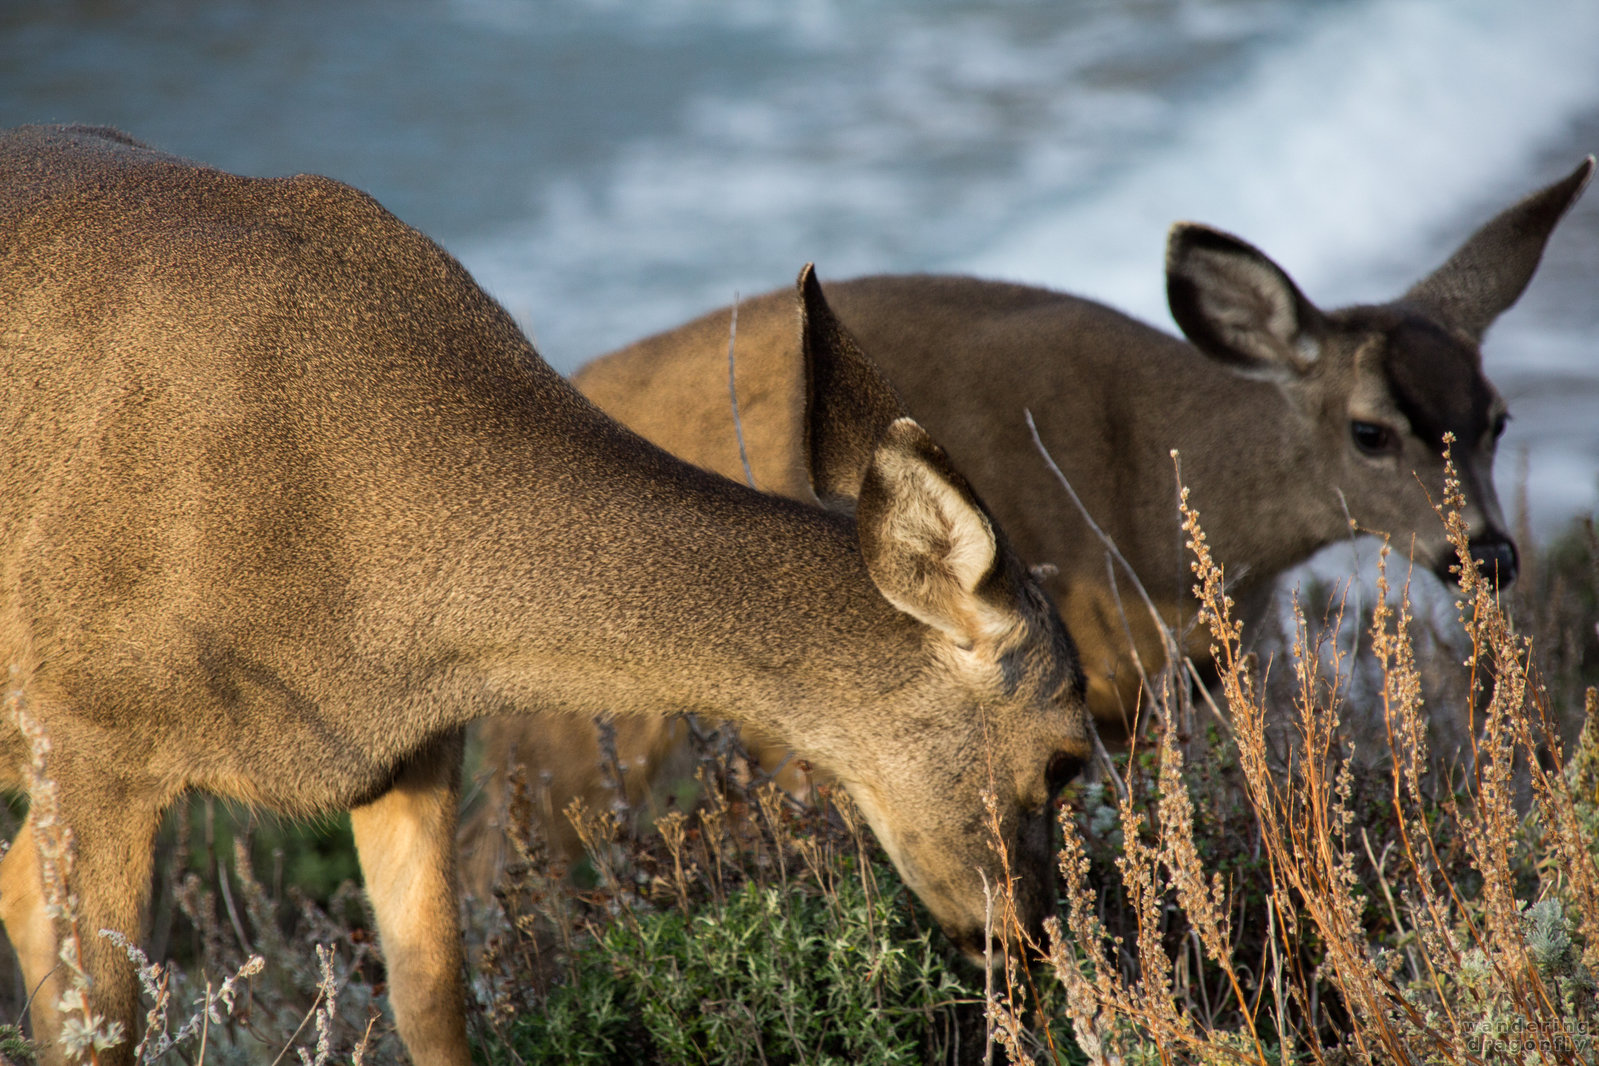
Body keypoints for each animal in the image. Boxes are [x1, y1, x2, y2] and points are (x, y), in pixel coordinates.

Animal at [0, 127, 1093, 1066]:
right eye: (1068, 758)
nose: (1029, 946)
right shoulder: (87, 728)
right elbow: (94, 1010)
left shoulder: (414, 750)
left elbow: (433, 995)